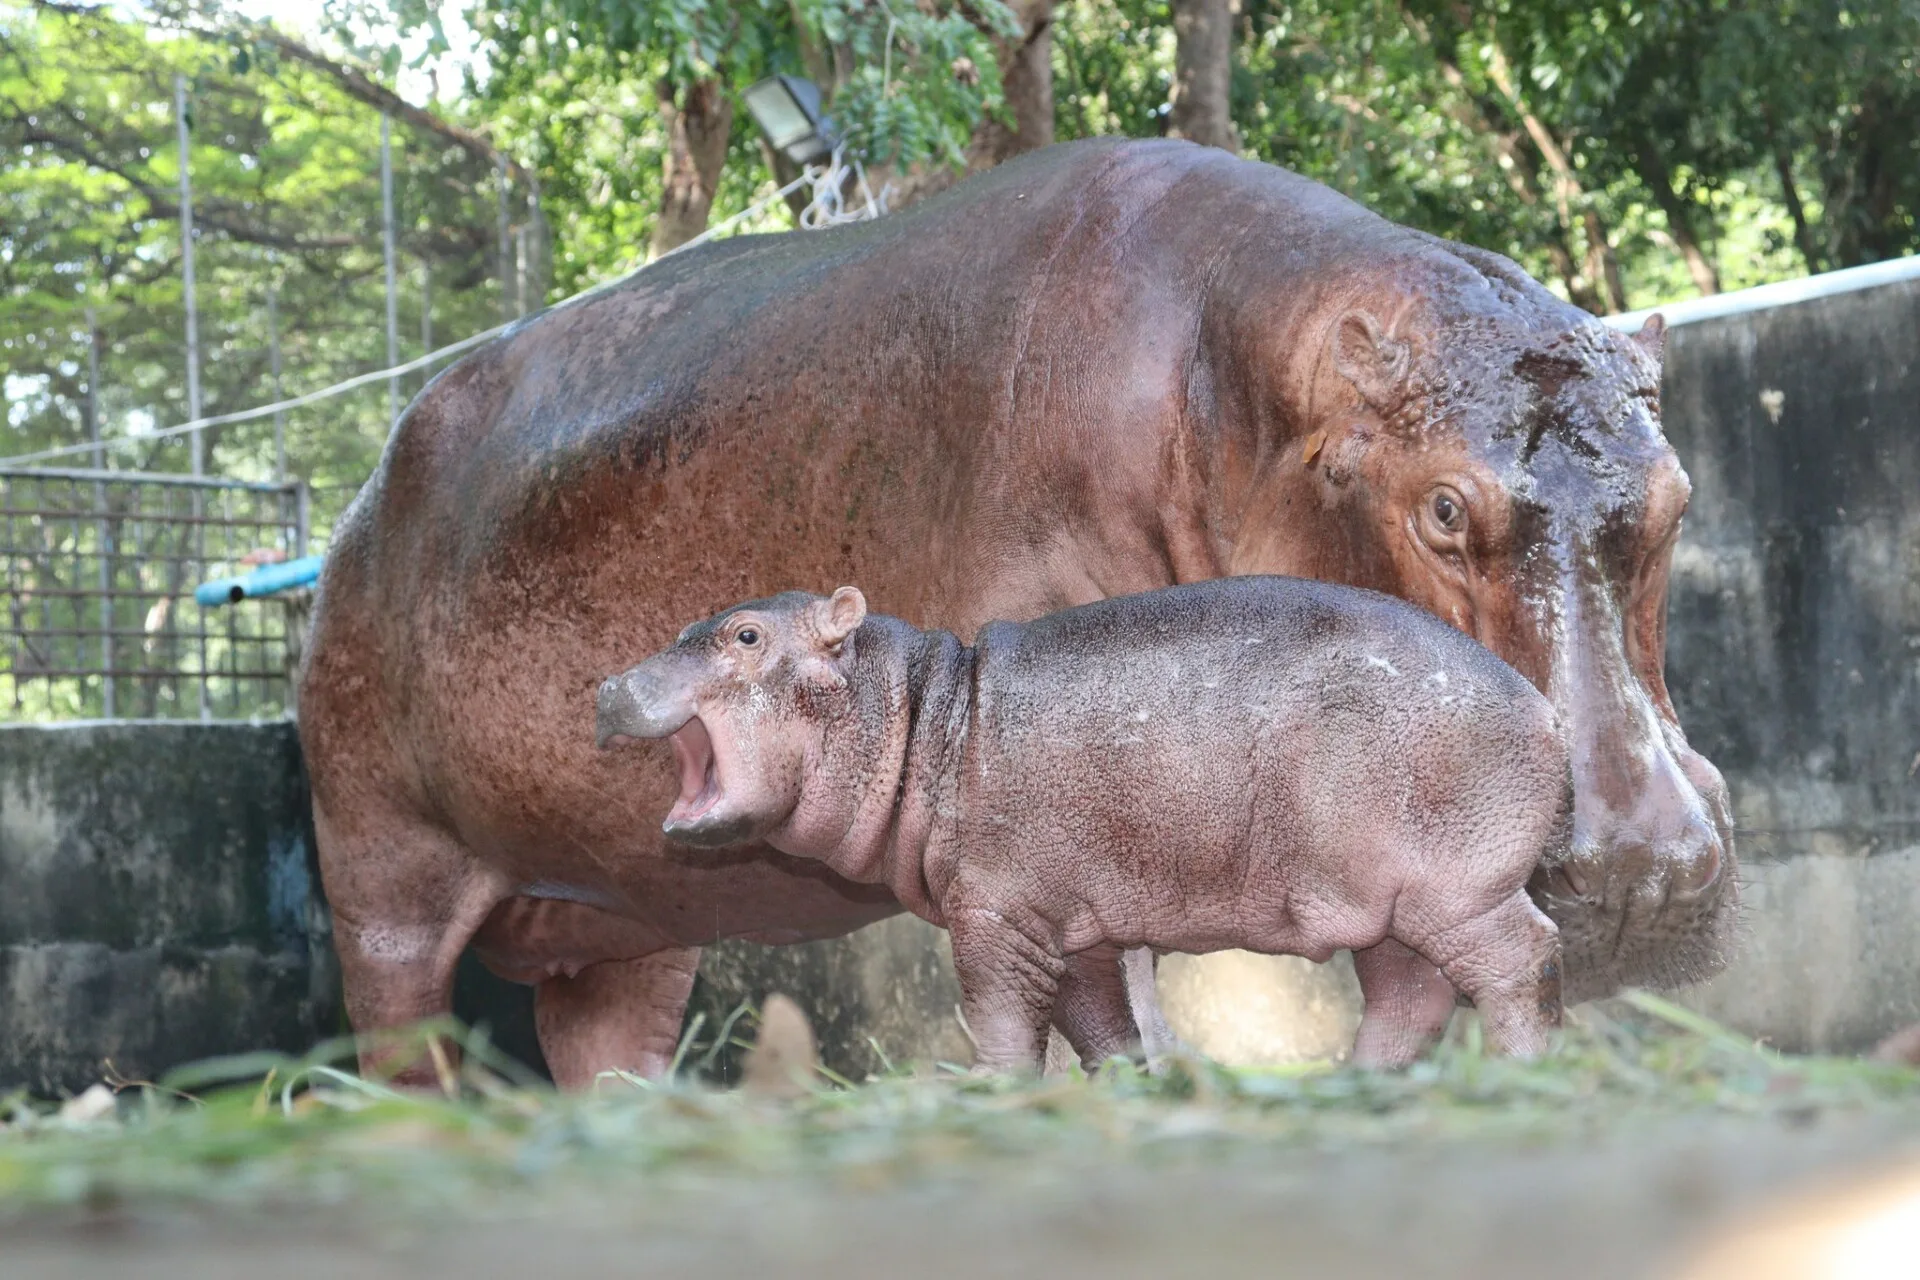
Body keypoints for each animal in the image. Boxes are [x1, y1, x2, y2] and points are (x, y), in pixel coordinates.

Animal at [599, 579, 1574, 1074]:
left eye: (745, 635)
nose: (607, 684)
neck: (917, 710)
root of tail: (1542, 704)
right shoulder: (1071, 929)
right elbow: (1103, 1031)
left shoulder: (996, 916)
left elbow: (998, 1023)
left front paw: (995, 1096)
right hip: (1383, 909)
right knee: (1411, 997)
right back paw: (1356, 1087)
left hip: (1453, 888)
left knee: (1522, 960)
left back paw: (1525, 1075)